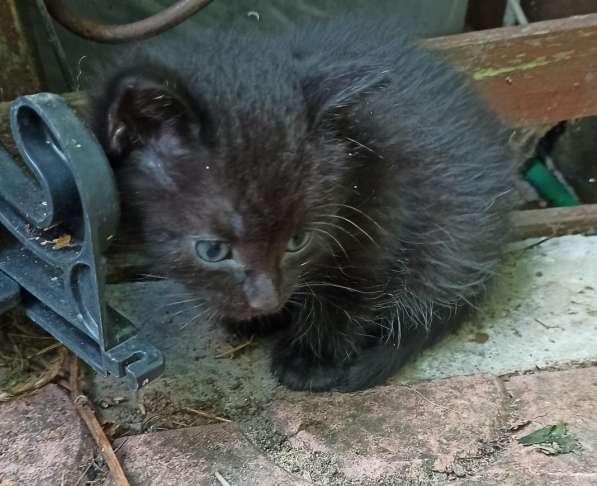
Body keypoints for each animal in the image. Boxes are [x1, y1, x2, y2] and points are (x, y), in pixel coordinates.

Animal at [87, 17, 512, 392]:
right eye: (212, 251)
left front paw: (311, 359)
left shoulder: (384, 206)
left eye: (297, 241)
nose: (266, 300)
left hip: (455, 231)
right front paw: (259, 318)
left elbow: (350, 286)